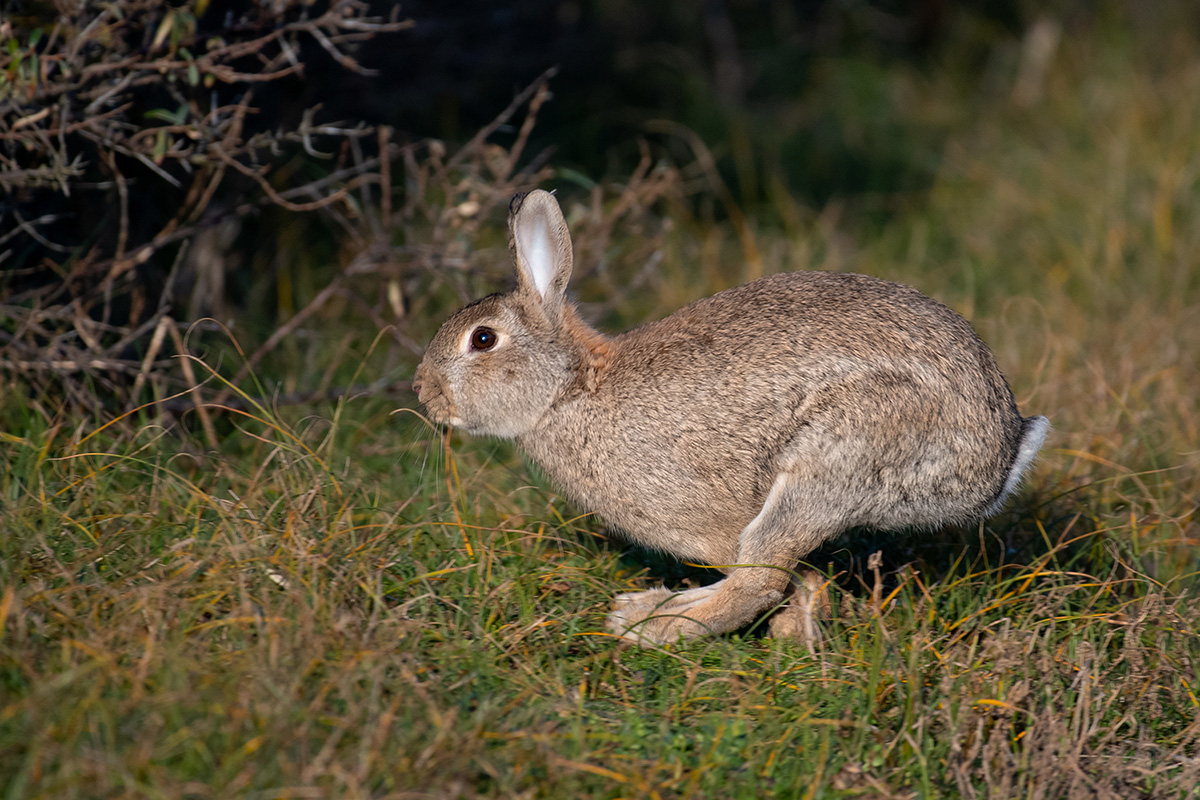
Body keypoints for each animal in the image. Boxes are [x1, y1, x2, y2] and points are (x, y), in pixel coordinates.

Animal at [415, 190, 1051, 647]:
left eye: (483, 339)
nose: (425, 395)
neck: (570, 390)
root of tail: (1002, 453)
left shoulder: (712, 522)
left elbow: (772, 579)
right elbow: (805, 581)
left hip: (831, 461)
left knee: (757, 579)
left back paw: (646, 624)